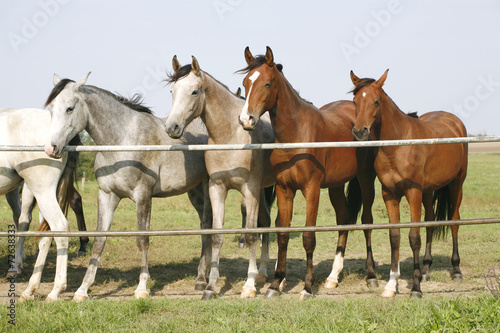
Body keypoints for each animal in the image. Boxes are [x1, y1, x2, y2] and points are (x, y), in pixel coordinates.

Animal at [43, 73, 213, 300]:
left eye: (70, 108)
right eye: (51, 109)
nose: (51, 148)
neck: (123, 141)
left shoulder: (143, 196)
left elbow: (142, 240)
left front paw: (141, 288)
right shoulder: (106, 196)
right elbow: (99, 241)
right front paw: (82, 290)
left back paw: (203, 279)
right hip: (195, 192)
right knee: (205, 226)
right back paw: (201, 278)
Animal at [238, 46, 376, 298]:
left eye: (267, 83)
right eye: (245, 82)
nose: (246, 119)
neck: (295, 136)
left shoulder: (312, 189)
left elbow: (308, 237)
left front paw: (308, 287)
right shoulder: (284, 189)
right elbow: (283, 234)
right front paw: (275, 284)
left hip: (365, 179)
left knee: (367, 221)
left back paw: (371, 277)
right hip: (336, 185)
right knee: (343, 220)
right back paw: (333, 277)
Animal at [350, 68, 466, 296]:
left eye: (376, 101)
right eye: (355, 101)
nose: (360, 131)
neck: (398, 145)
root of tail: (455, 121)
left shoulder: (413, 193)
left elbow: (414, 237)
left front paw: (415, 287)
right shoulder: (390, 194)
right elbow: (395, 235)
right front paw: (391, 284)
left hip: (457, 184)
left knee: (454, 221)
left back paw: (456, 270)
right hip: (428, 191)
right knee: (430, 221)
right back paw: (427, 270)